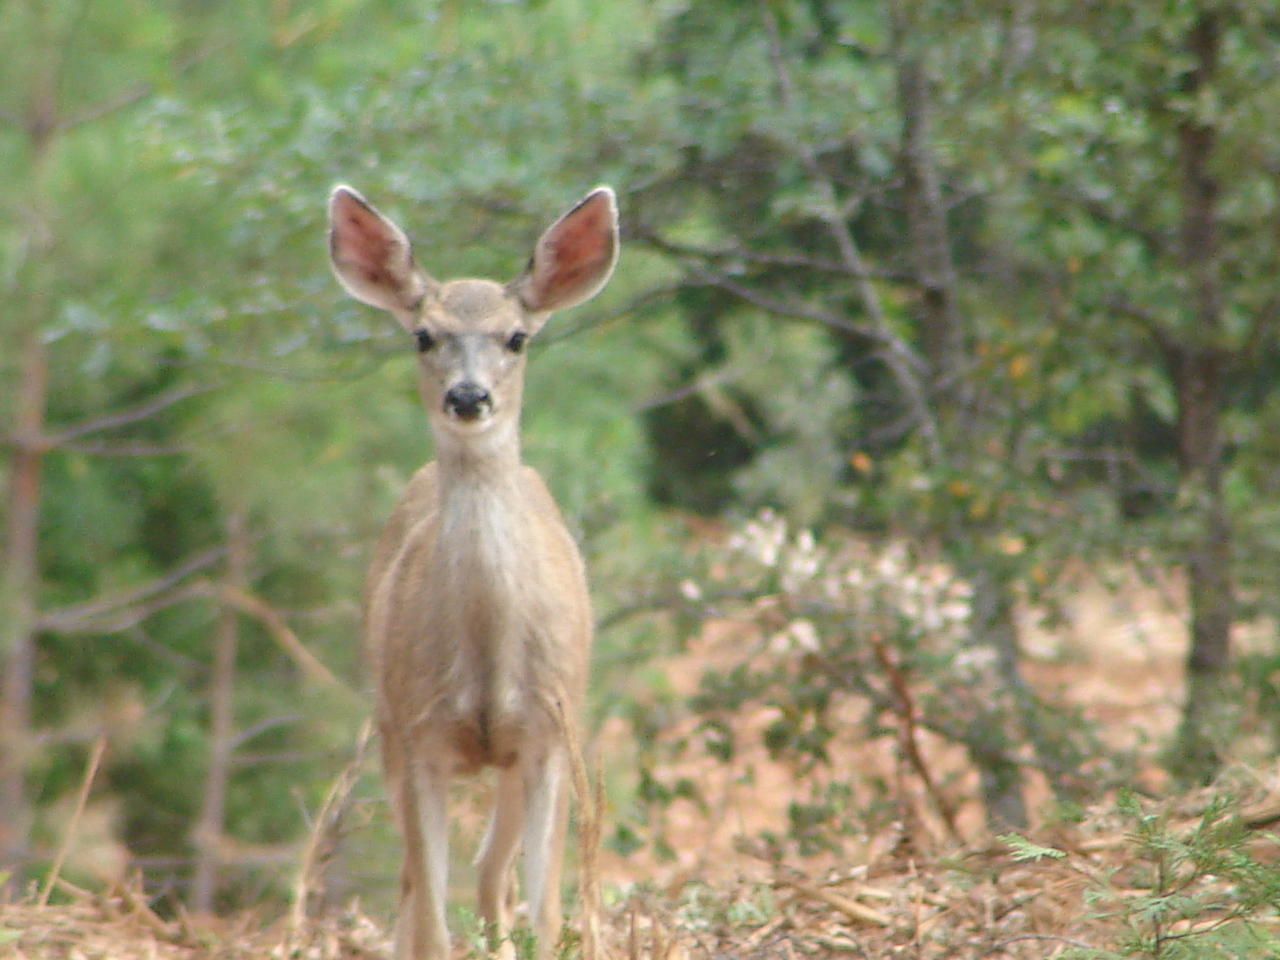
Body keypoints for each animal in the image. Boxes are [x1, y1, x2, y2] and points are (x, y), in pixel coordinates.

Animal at [327, 183, 619, 960]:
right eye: (423, 336)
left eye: (517, 337)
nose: (467, 397)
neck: (486, 659)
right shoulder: (418, 732)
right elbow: (430, 917)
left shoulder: (548, 731)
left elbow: (545, 911)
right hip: (387, 726)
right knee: (421, 885)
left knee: (493, 875)